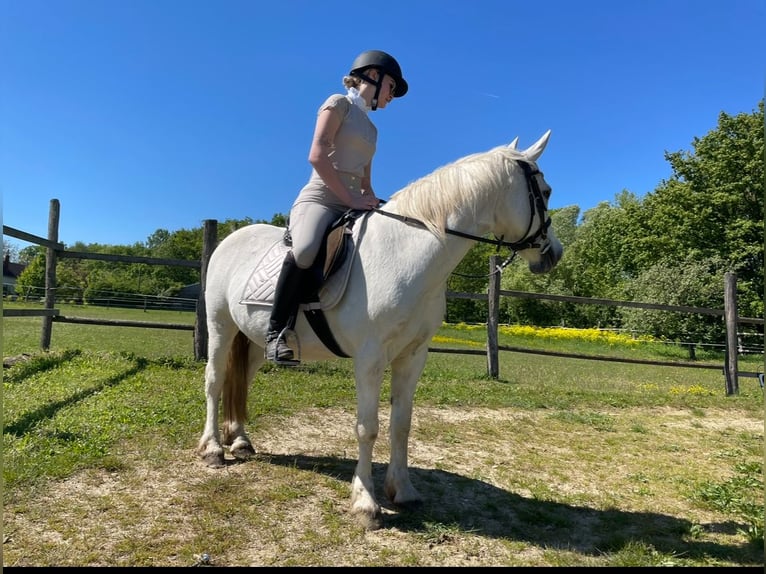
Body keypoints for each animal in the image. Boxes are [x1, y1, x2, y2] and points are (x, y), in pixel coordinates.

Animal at [194, 129, 564, 532]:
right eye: (546, 192)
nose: (554, 253)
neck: (407, 255)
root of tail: (231, 238)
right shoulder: (370, 359)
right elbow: (367, 427)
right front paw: (366, 503)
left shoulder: (413, 355)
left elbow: (401, 423)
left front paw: (402, 491)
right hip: (221, 326)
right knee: (215, 380)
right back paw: (213, 449)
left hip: (256, 340)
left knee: (241, 379)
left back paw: (240, 440)